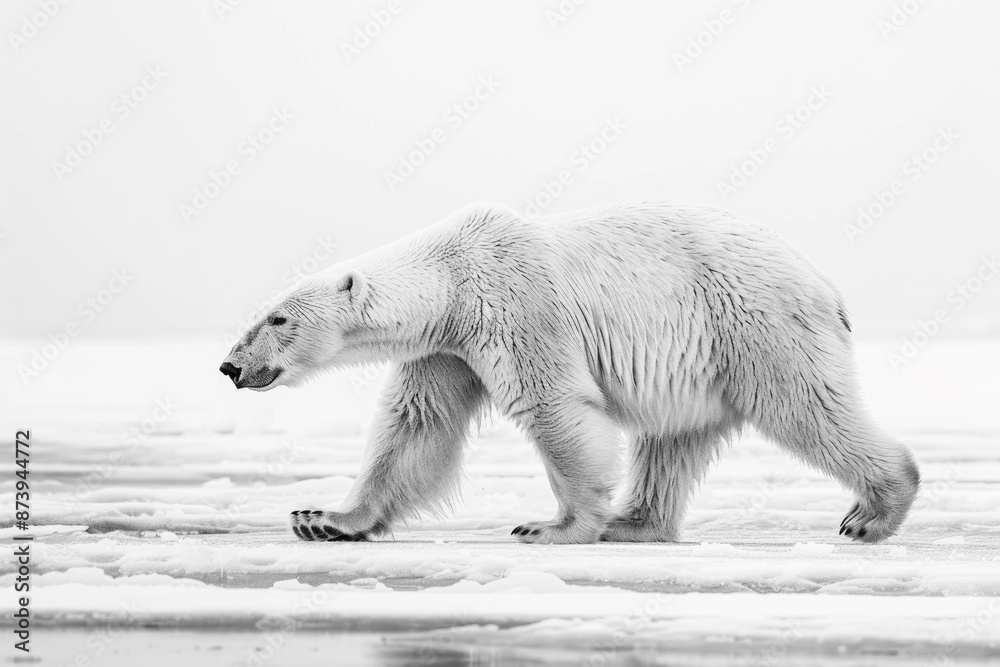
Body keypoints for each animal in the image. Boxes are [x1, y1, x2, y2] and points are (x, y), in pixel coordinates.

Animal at [220, 200, 920, 545]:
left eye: (278, 318)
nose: (229, 366)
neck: (452, 276)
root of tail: (825, 281)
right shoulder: (446, 349)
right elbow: (418, 425)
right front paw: (323, 519)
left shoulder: (515, 304)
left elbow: (554, 406)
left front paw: (554, 526)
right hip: (704, 360)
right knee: (672, 440)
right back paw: (635, 524)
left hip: (753, 324)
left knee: (804, 404)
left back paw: (872, 512)